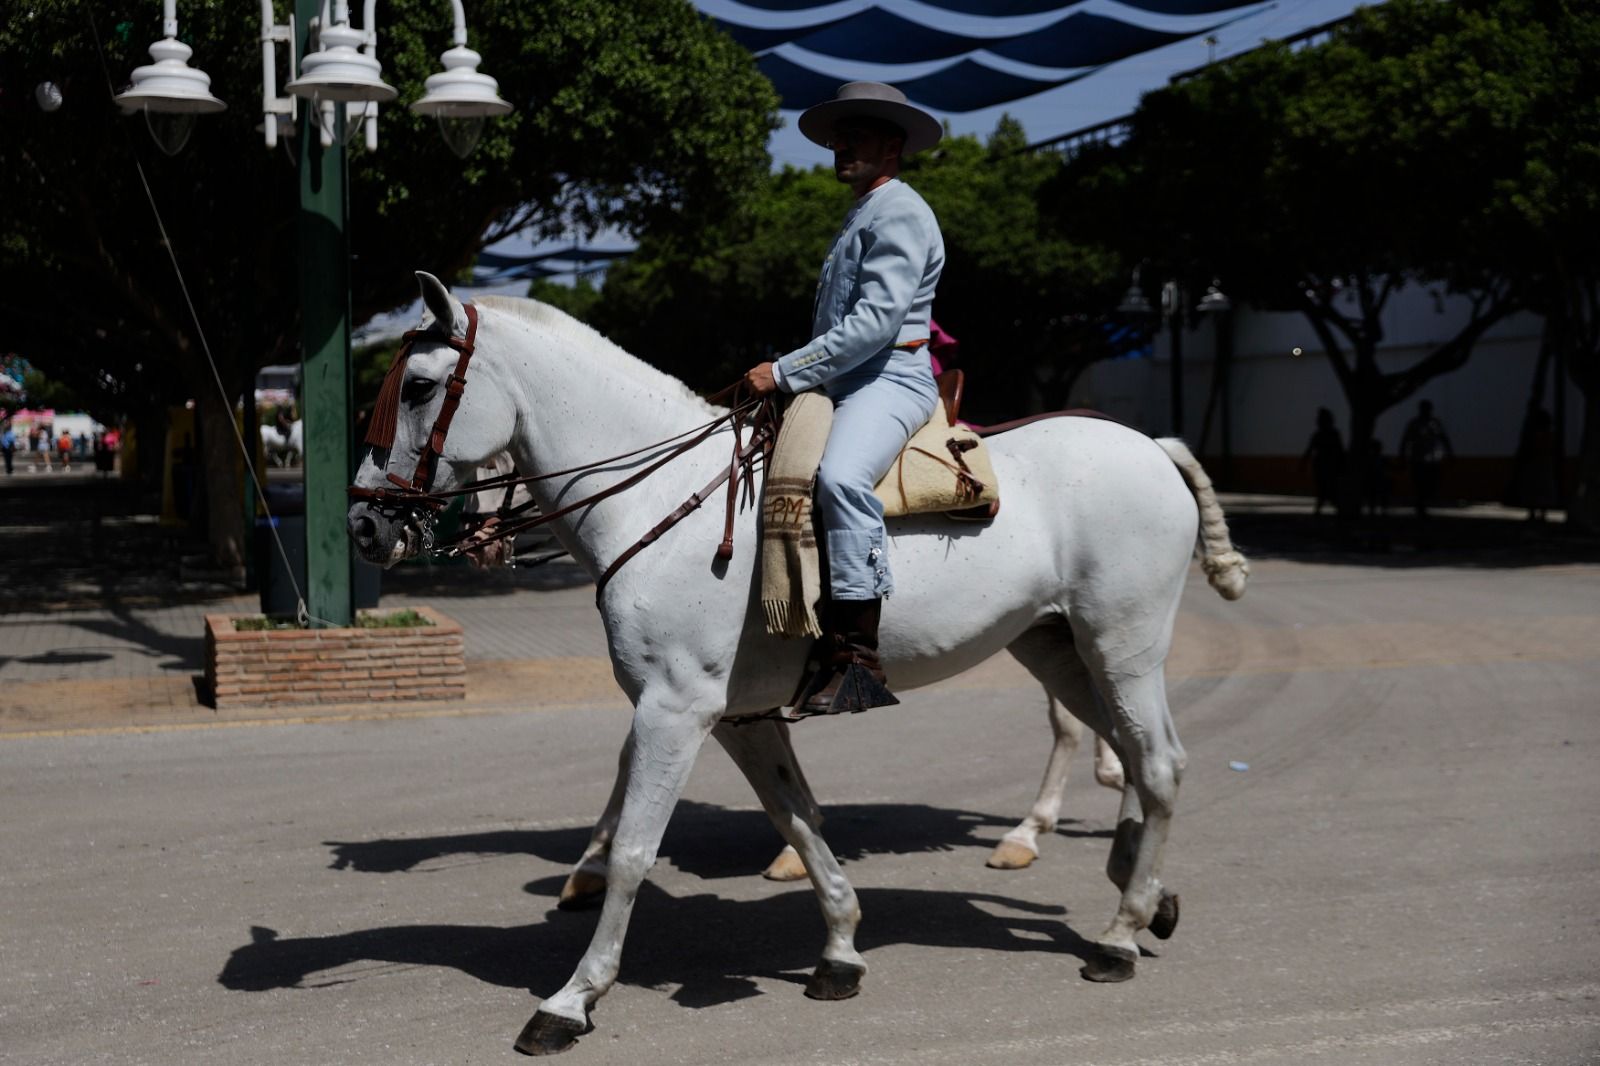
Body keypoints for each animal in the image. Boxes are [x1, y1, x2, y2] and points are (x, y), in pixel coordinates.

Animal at [350, 270, 1248, 1049]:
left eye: (421, 388)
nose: (363, 524)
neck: (661, 499)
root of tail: (1150, 445)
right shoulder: (737, 718)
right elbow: (800, 819)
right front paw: (841, 950)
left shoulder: (673, 710)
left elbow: (639, 849)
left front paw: (572, 997)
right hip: (1056, 645)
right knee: (1126, 751)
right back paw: (1140, 887)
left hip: (1122, 644)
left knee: (1157, 763)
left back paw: (1119, 934)